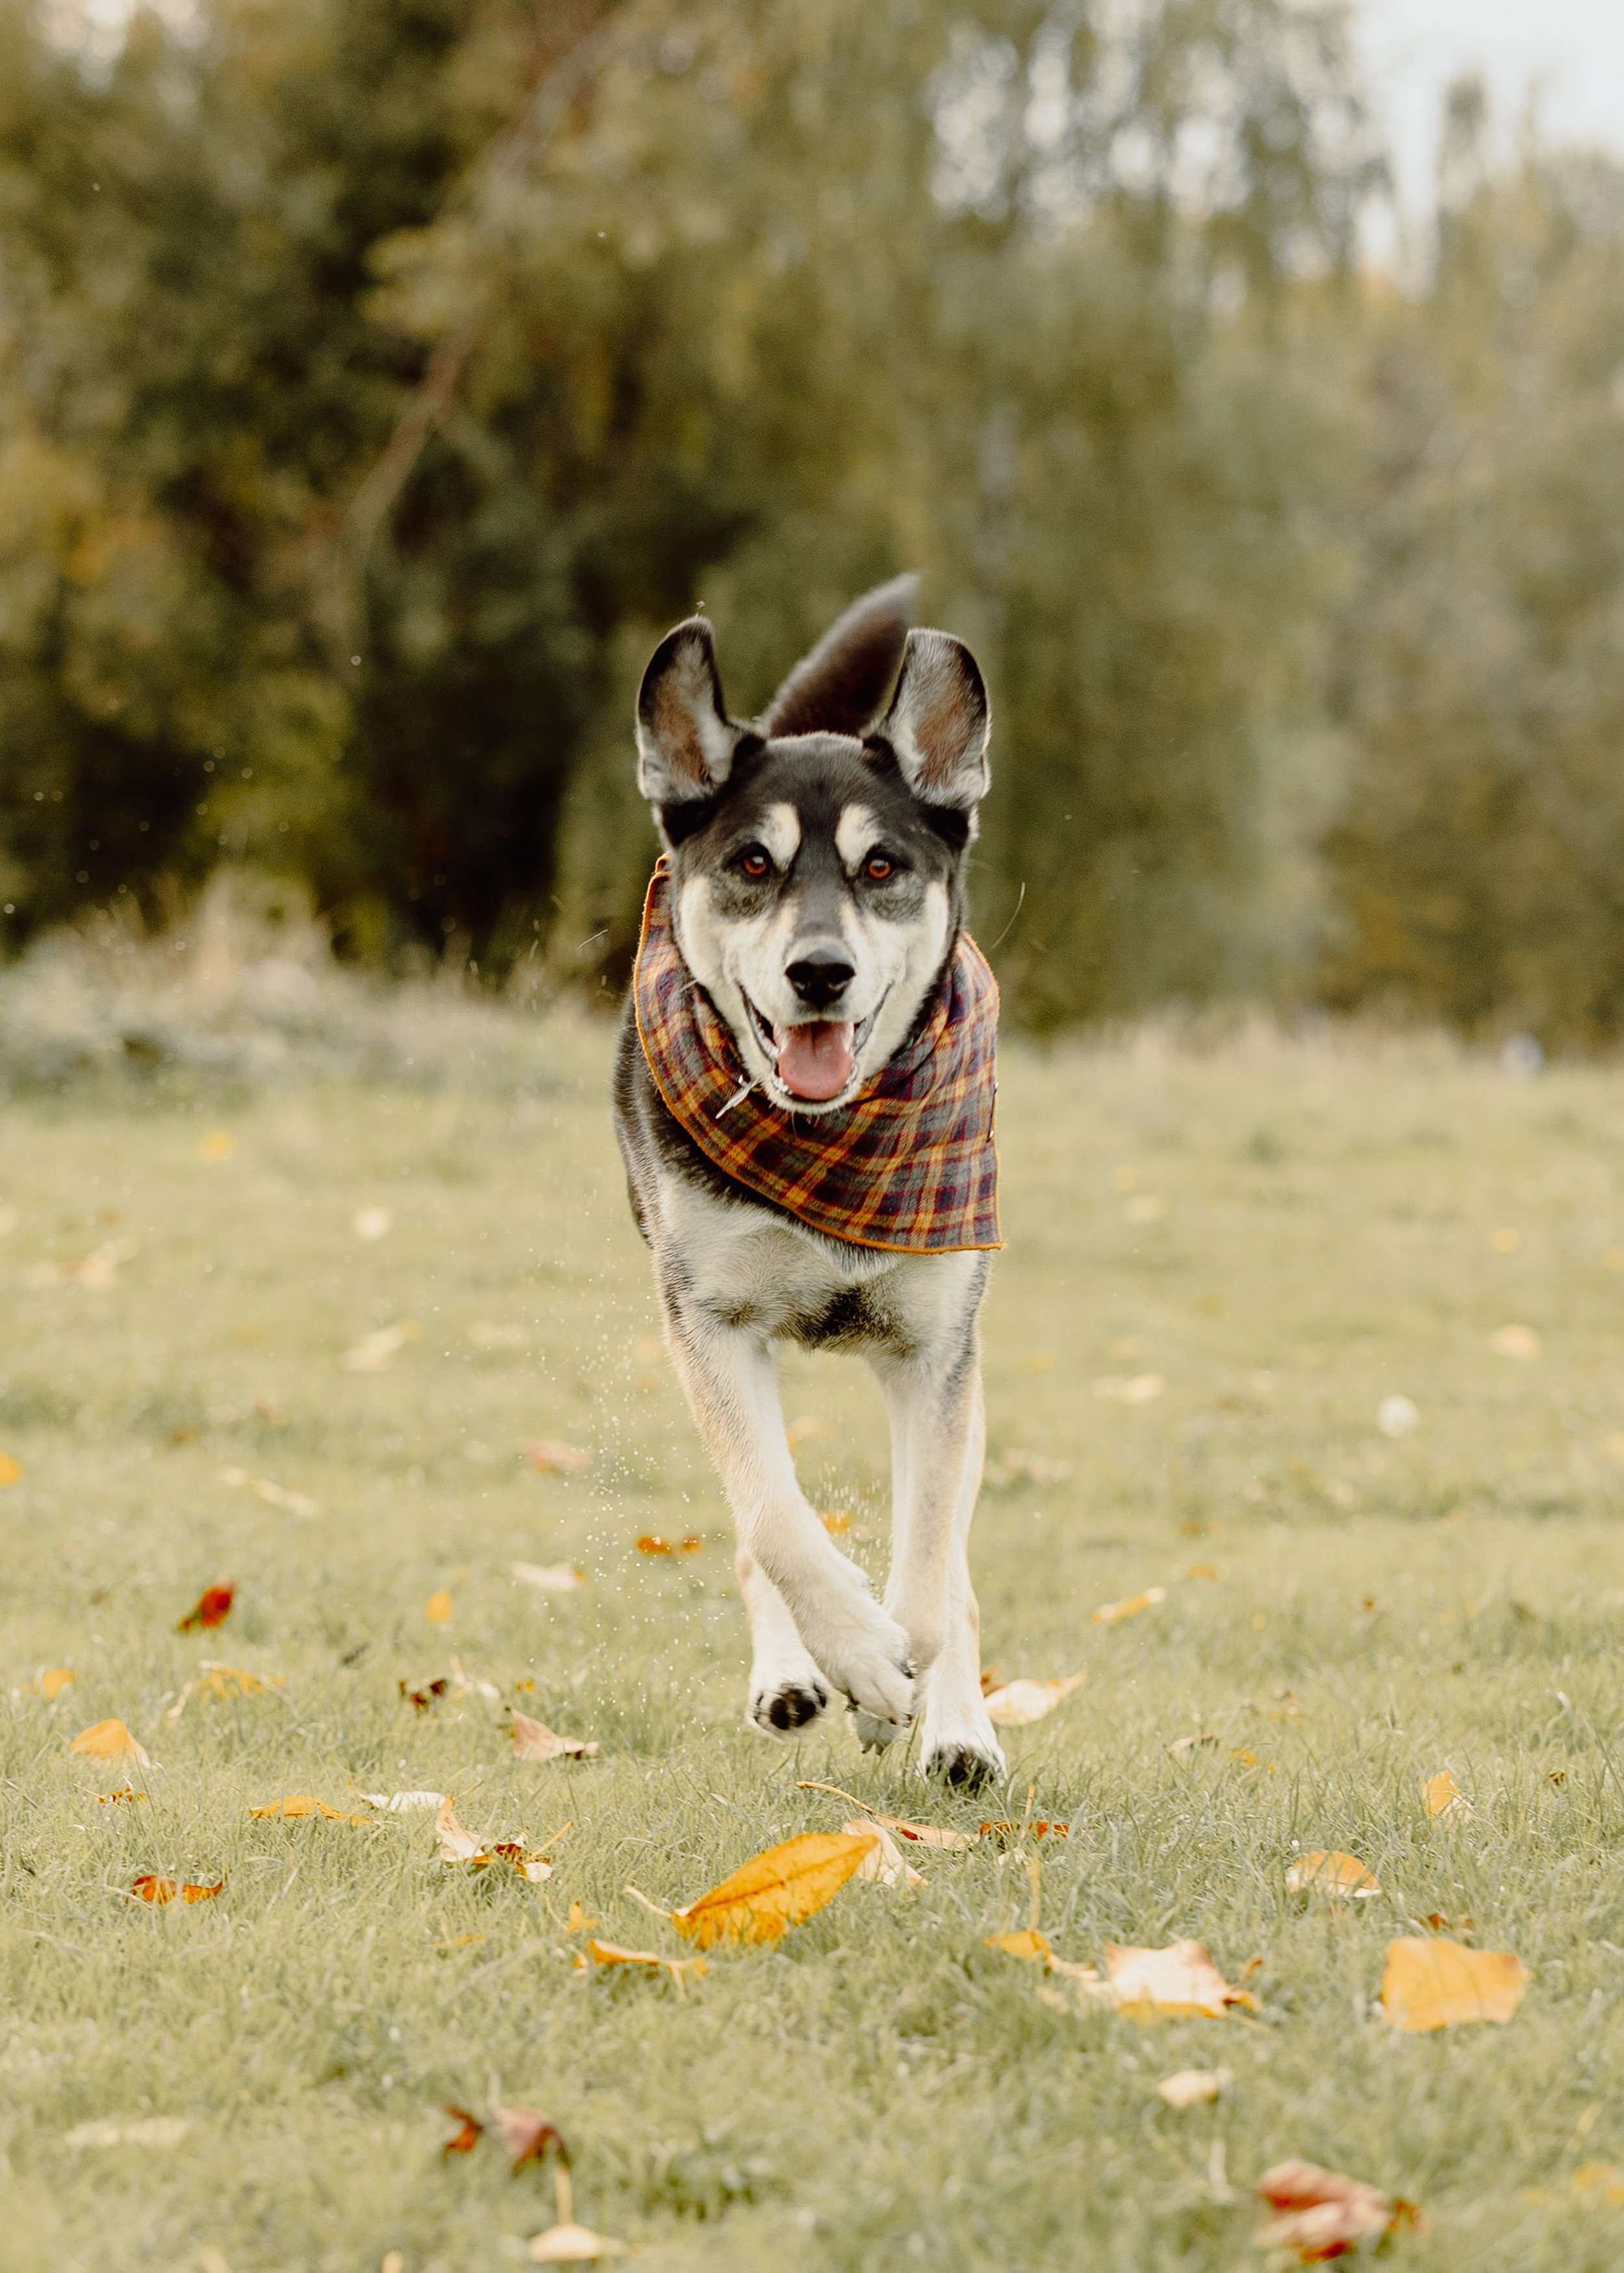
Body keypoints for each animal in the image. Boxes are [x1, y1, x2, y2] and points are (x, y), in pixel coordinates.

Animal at [609, 577, 1000, 1782]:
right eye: (751, 863)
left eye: (882, 868)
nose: (818, 971)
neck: (833, 1142)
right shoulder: (710, 1320)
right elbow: (776, 1519)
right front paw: (856, 1659)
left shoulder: (936, 1350)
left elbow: (933, 1560)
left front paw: (901, 1683)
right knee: (757, 1522)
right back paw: (794, 1675)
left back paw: (957, 1730)